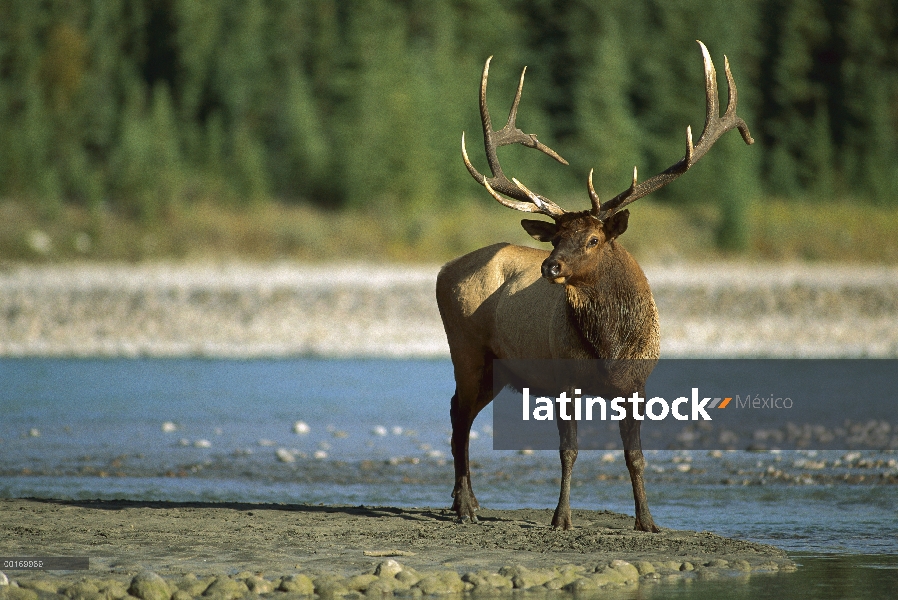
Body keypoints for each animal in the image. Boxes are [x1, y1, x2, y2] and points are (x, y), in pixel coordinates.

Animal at [434, 41, 748, 528]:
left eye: (594, 239)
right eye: (556, 237)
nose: (550, 267)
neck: (611, 346)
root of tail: (443, 269)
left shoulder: (637, 385)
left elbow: (635, 456)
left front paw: (647, 521)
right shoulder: (565, 381)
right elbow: (569, 451)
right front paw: (561, 518)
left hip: (497, 368)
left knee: (458, 412)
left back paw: (464, 501)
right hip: (467, 349)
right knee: (458, 414)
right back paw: (465, 505)